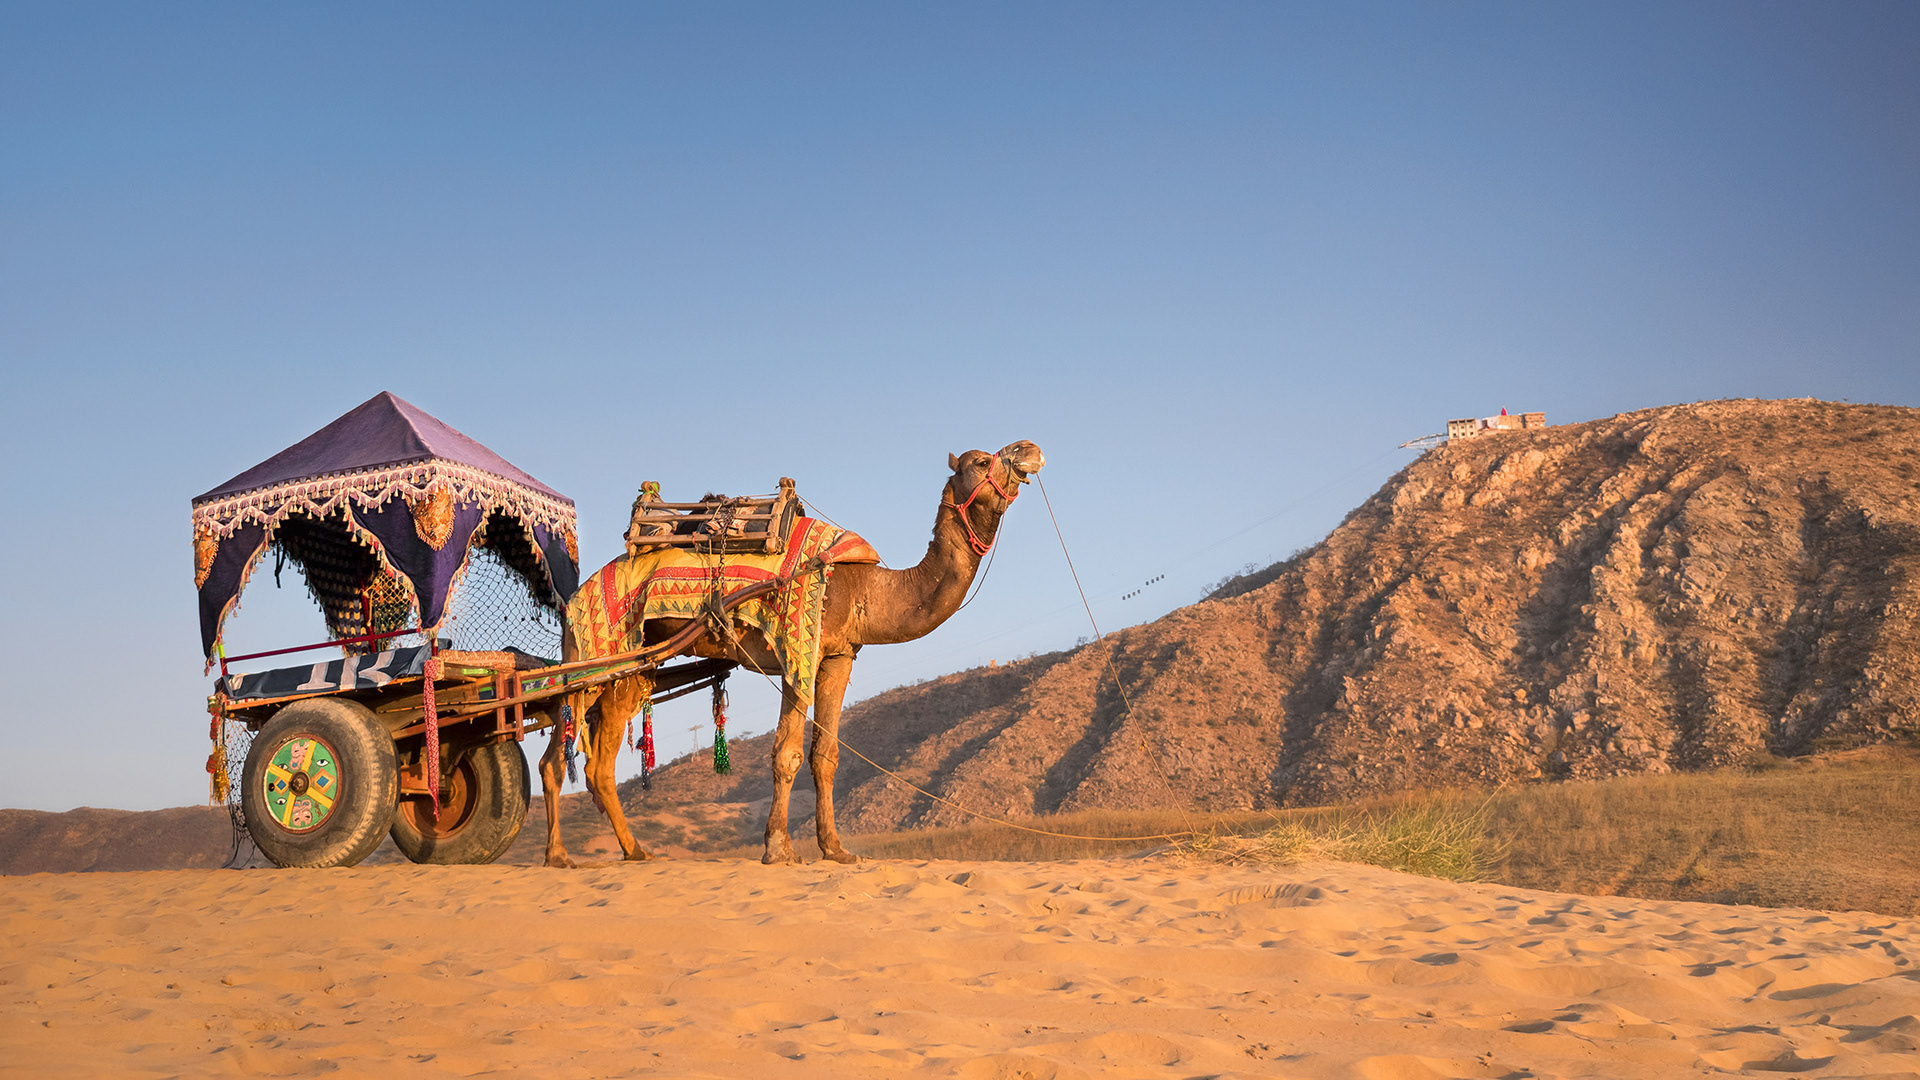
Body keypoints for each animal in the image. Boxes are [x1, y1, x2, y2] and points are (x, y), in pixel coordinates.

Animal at [539, 440, 1046, 866]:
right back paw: (558, 856)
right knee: (554, 756)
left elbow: (826, 755)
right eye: (981, 460)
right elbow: (787, 752)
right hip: (590, 655)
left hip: (630, 668)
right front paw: (779, 848)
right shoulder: (795, 649)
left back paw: (636, 851)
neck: (867, 587)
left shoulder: (838, 655)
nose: (1031, 450)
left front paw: (836, 849)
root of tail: (577, 596)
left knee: (599, 763)